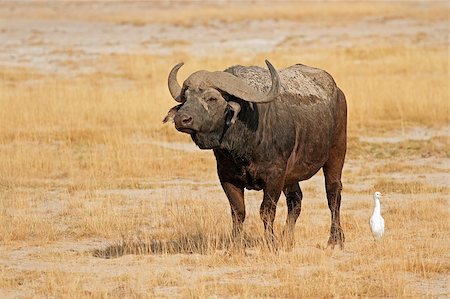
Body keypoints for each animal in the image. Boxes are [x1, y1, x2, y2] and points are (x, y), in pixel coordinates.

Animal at [163, 59, 346, 250]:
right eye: (186, 98)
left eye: (212, 98)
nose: (182, 119)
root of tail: (338, 92)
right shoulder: (227, 177)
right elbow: (238, 211)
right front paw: (236, 243)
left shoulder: (274, 177)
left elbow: (266, 210)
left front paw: (271, 242)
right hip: (291, 177)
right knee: (295, 200)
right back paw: (287, 239)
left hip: (336, 153)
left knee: (333, 194)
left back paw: (335, 239)